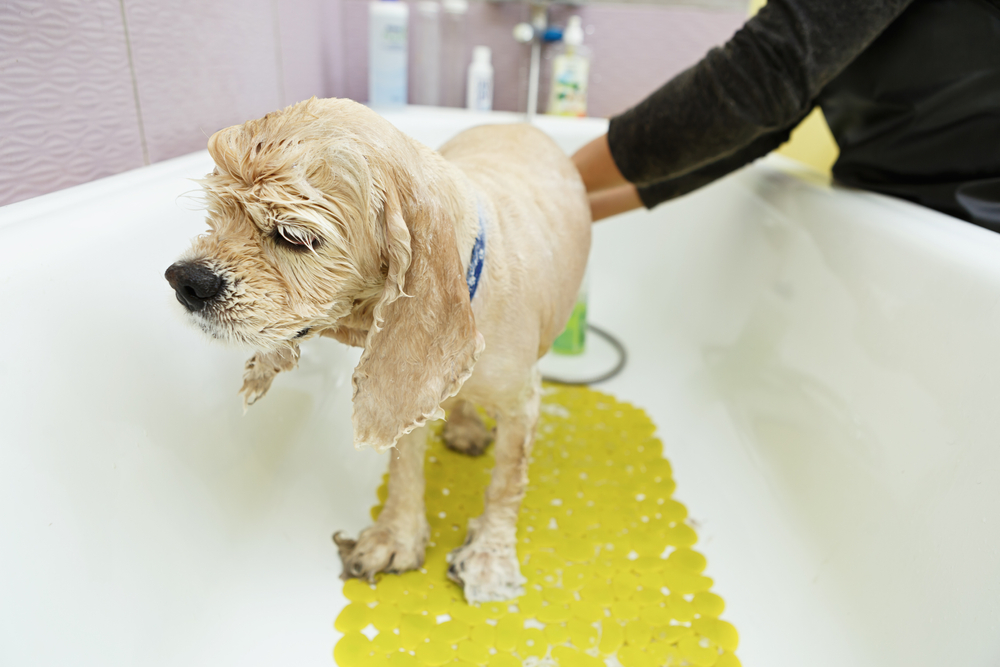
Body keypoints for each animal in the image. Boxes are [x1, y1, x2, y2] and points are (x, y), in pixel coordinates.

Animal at [160, 99, 588, 604]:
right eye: (218, 213)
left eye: (293, 236)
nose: (186, 281)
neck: (472, 281)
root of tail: (517, 123)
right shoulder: (409, 390)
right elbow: (403, 465)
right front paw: (395, 538)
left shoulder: (522, 404)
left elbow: (506, 481)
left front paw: (489, 557)